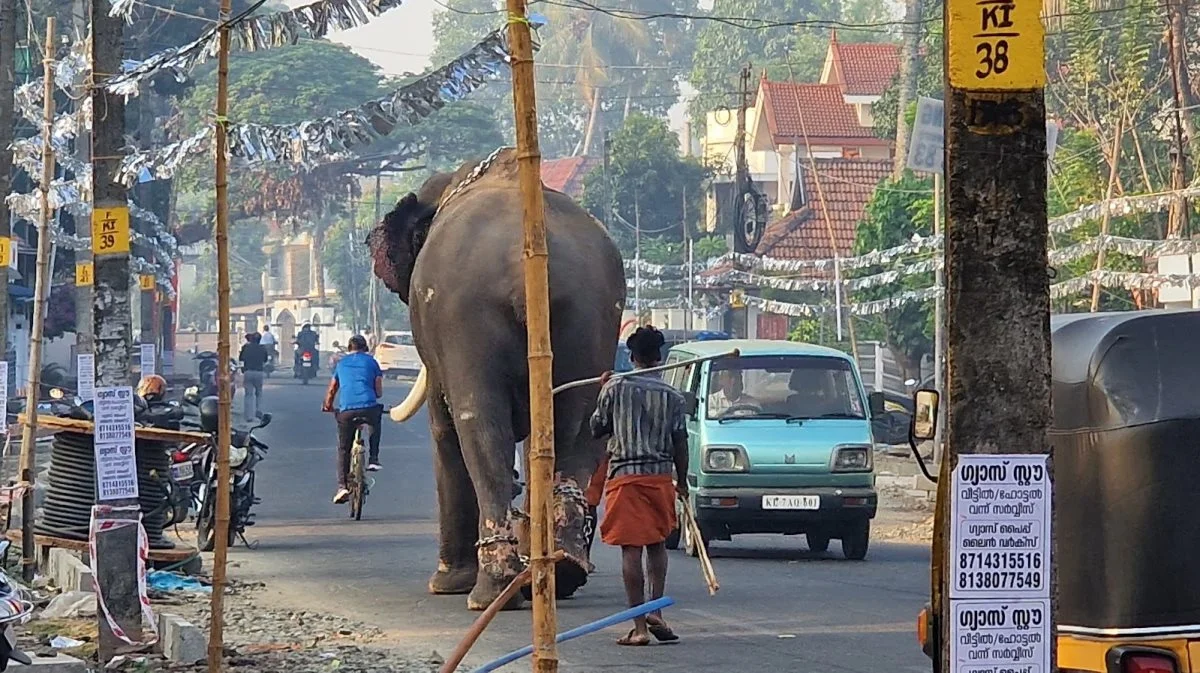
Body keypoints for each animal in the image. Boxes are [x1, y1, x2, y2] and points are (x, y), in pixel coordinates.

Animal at [364, 148, 628, 609]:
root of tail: (526, 267)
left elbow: (443, 427)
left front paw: (445, 585)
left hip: (468, 317)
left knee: (478, 428)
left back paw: (489, 592)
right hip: (590, 316)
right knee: (575, 426)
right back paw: (561, 572)